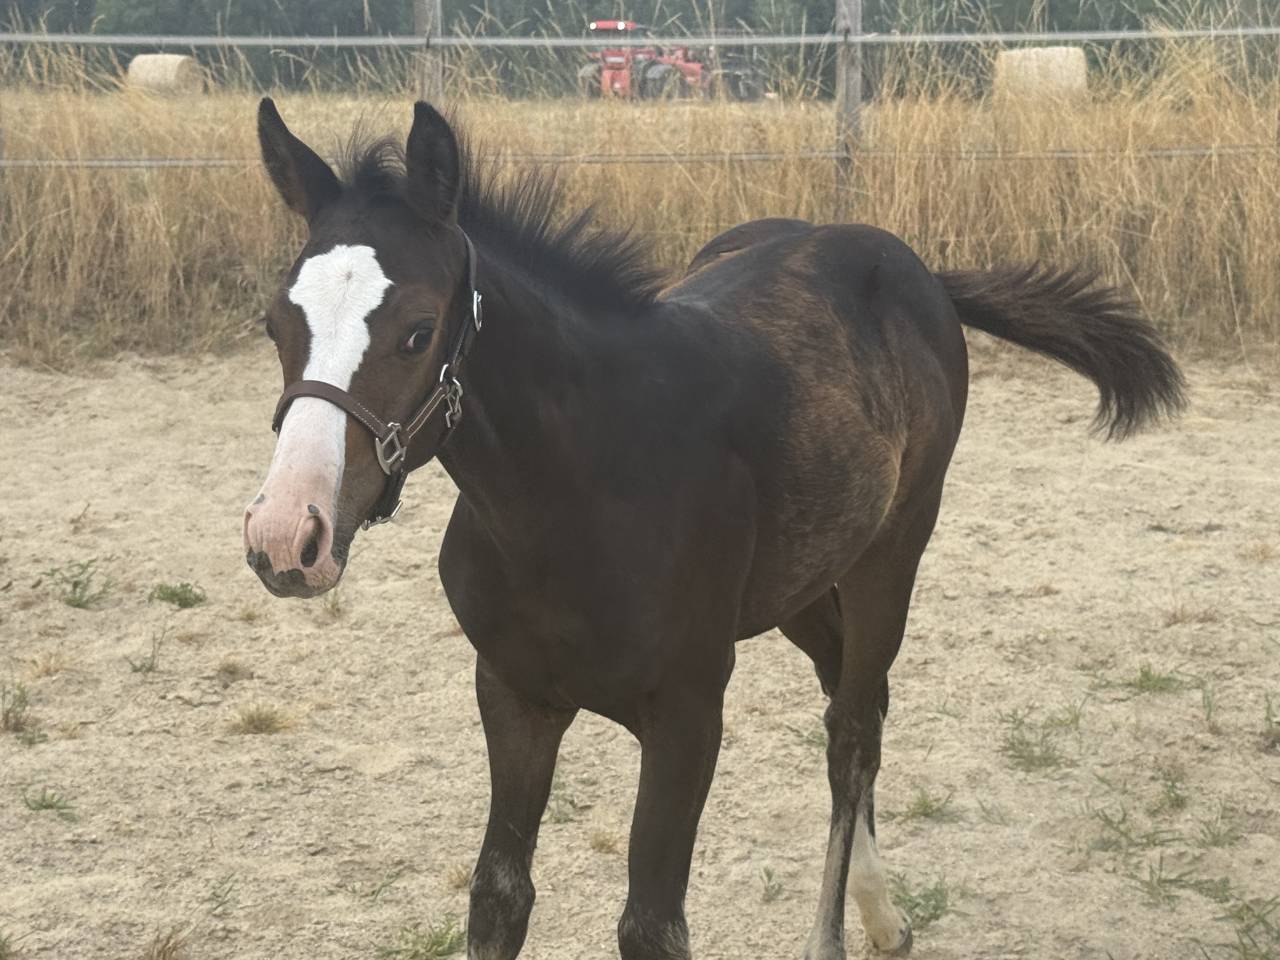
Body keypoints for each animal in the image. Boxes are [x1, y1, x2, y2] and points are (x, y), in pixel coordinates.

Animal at [242, 99, 1186, 959]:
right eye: (275, 323)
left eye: (416, 331)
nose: (287, 537)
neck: (575, 501)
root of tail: (910, 262)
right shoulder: (512, 693)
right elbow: (499, 896)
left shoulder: (689, 715)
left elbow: (651, 925)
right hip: (801, 581)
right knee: (855, 696)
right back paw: (883, 914)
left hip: (893, 549)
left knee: (852, 729)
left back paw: (838, 935)